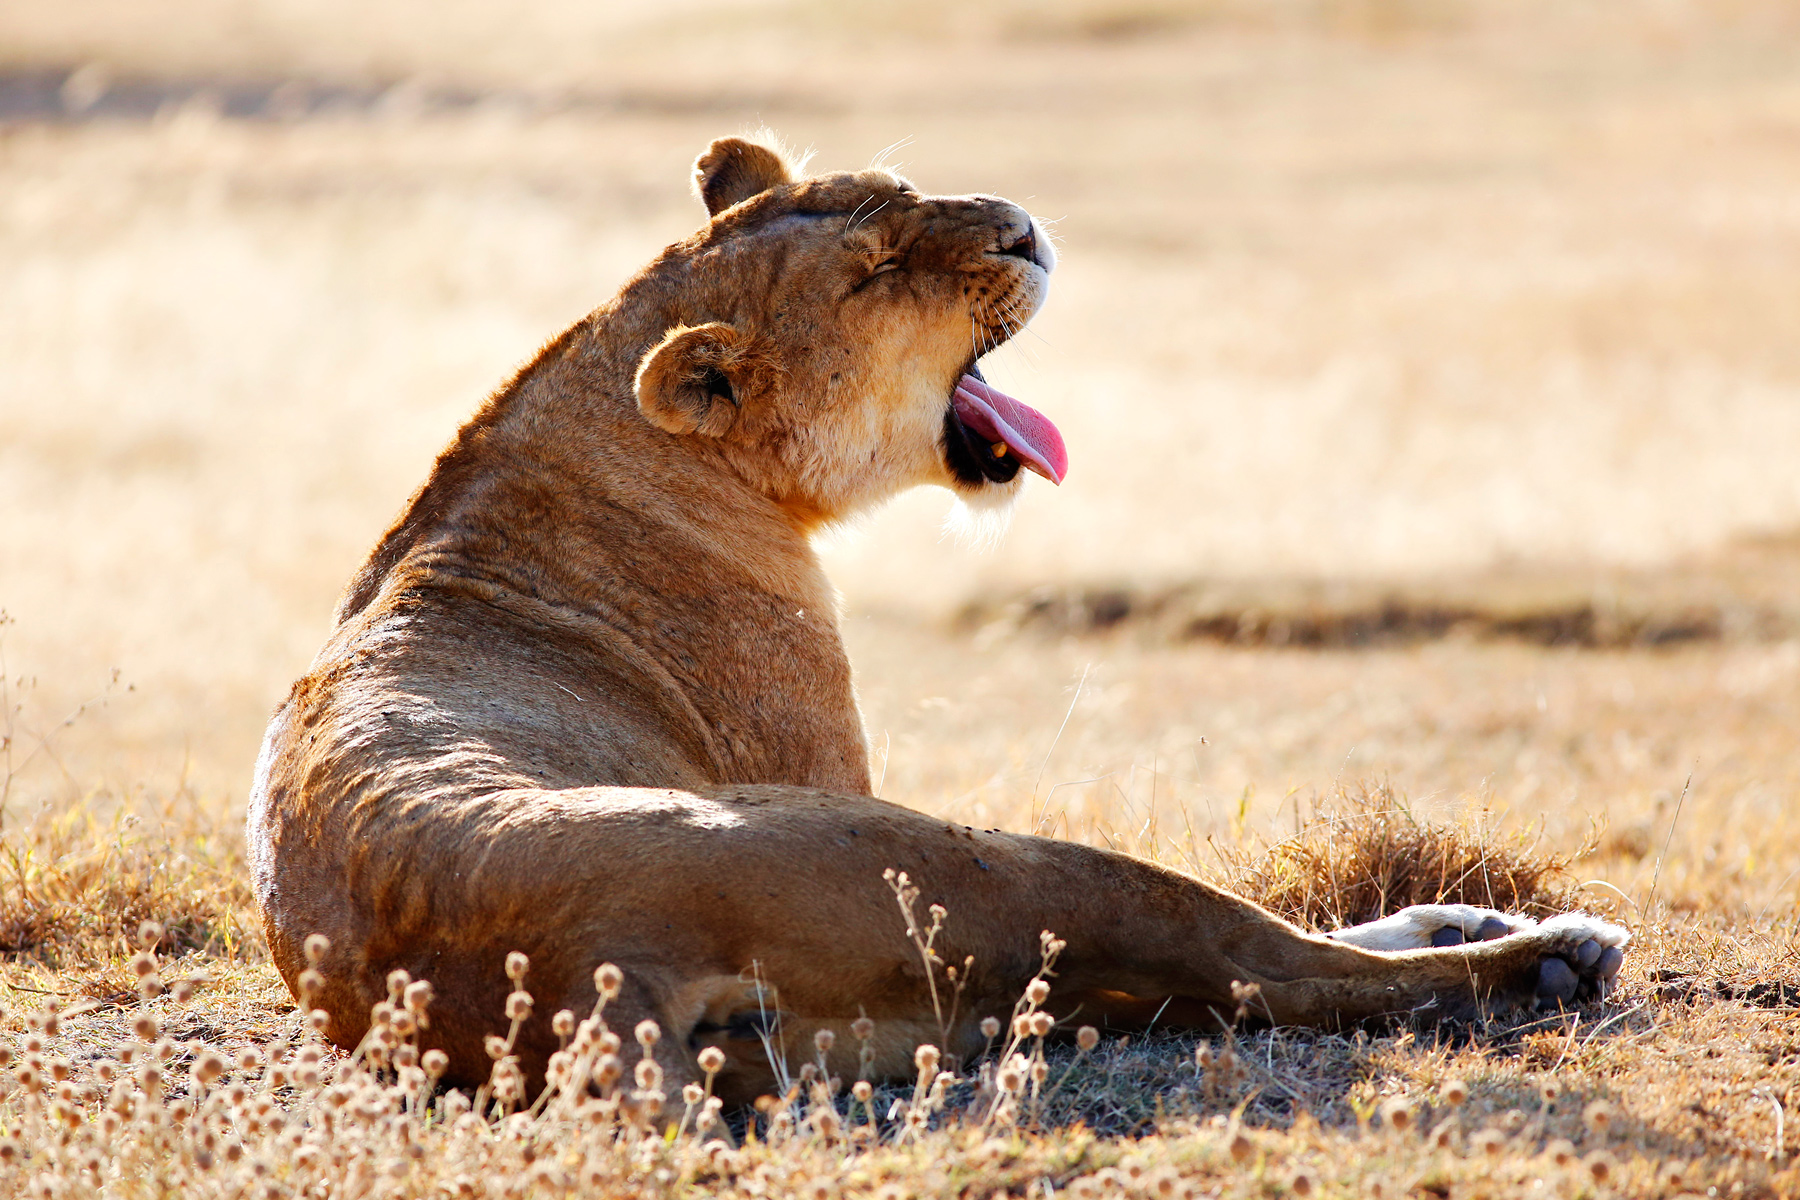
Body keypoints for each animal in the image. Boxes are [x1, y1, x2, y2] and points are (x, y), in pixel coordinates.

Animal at [247, 136, 1627, 1104]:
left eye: (901, 187)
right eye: (871, 277)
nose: (1023, 229)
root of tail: (575, 974)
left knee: (1232, 980)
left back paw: (1485, 925)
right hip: (980, 862)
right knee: (1275, 966)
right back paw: (1547, 954)